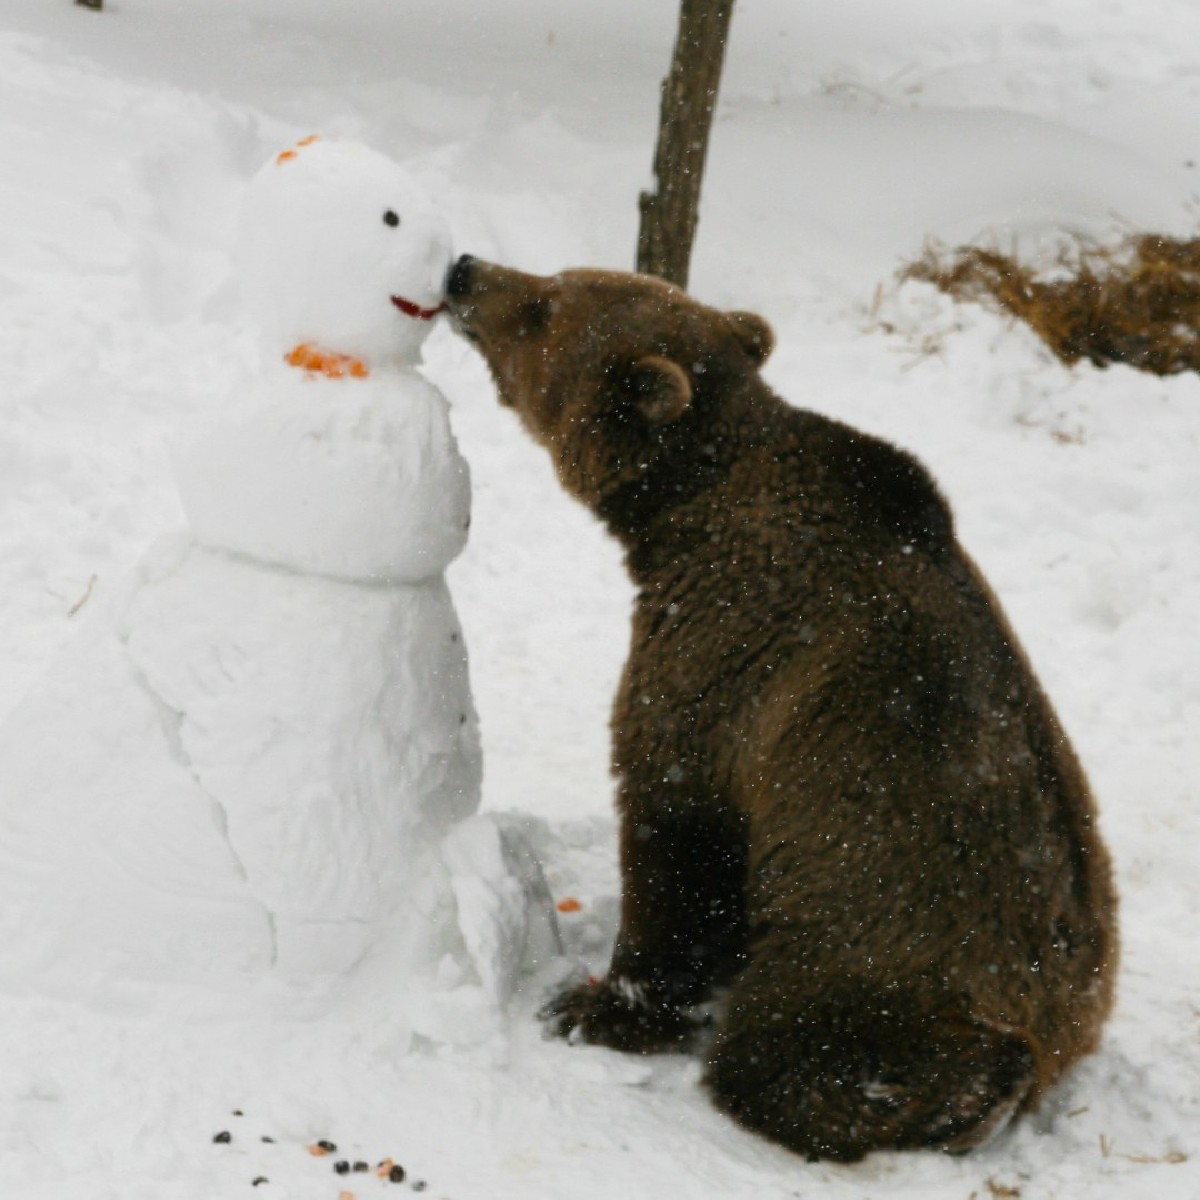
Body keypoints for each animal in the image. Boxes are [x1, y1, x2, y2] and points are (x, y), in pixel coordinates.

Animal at [445, 254, 1118, 1163]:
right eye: (560, 279)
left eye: (544, 307)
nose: (464, 271)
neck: (680, 513)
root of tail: (1058, 1024)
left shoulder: (720, 667)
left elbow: (677, 835)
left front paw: (594, 1006)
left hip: (865, 951)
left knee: (790, 1055)